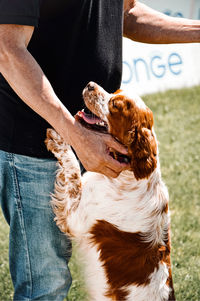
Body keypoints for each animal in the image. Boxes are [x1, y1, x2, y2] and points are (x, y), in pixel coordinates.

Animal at [45, 82, 175, 300]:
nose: (90, 84)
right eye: (115, 92)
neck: (131, 172)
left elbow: (72, 168)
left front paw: (58, 140)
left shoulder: (74, 219)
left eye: (115, 105)